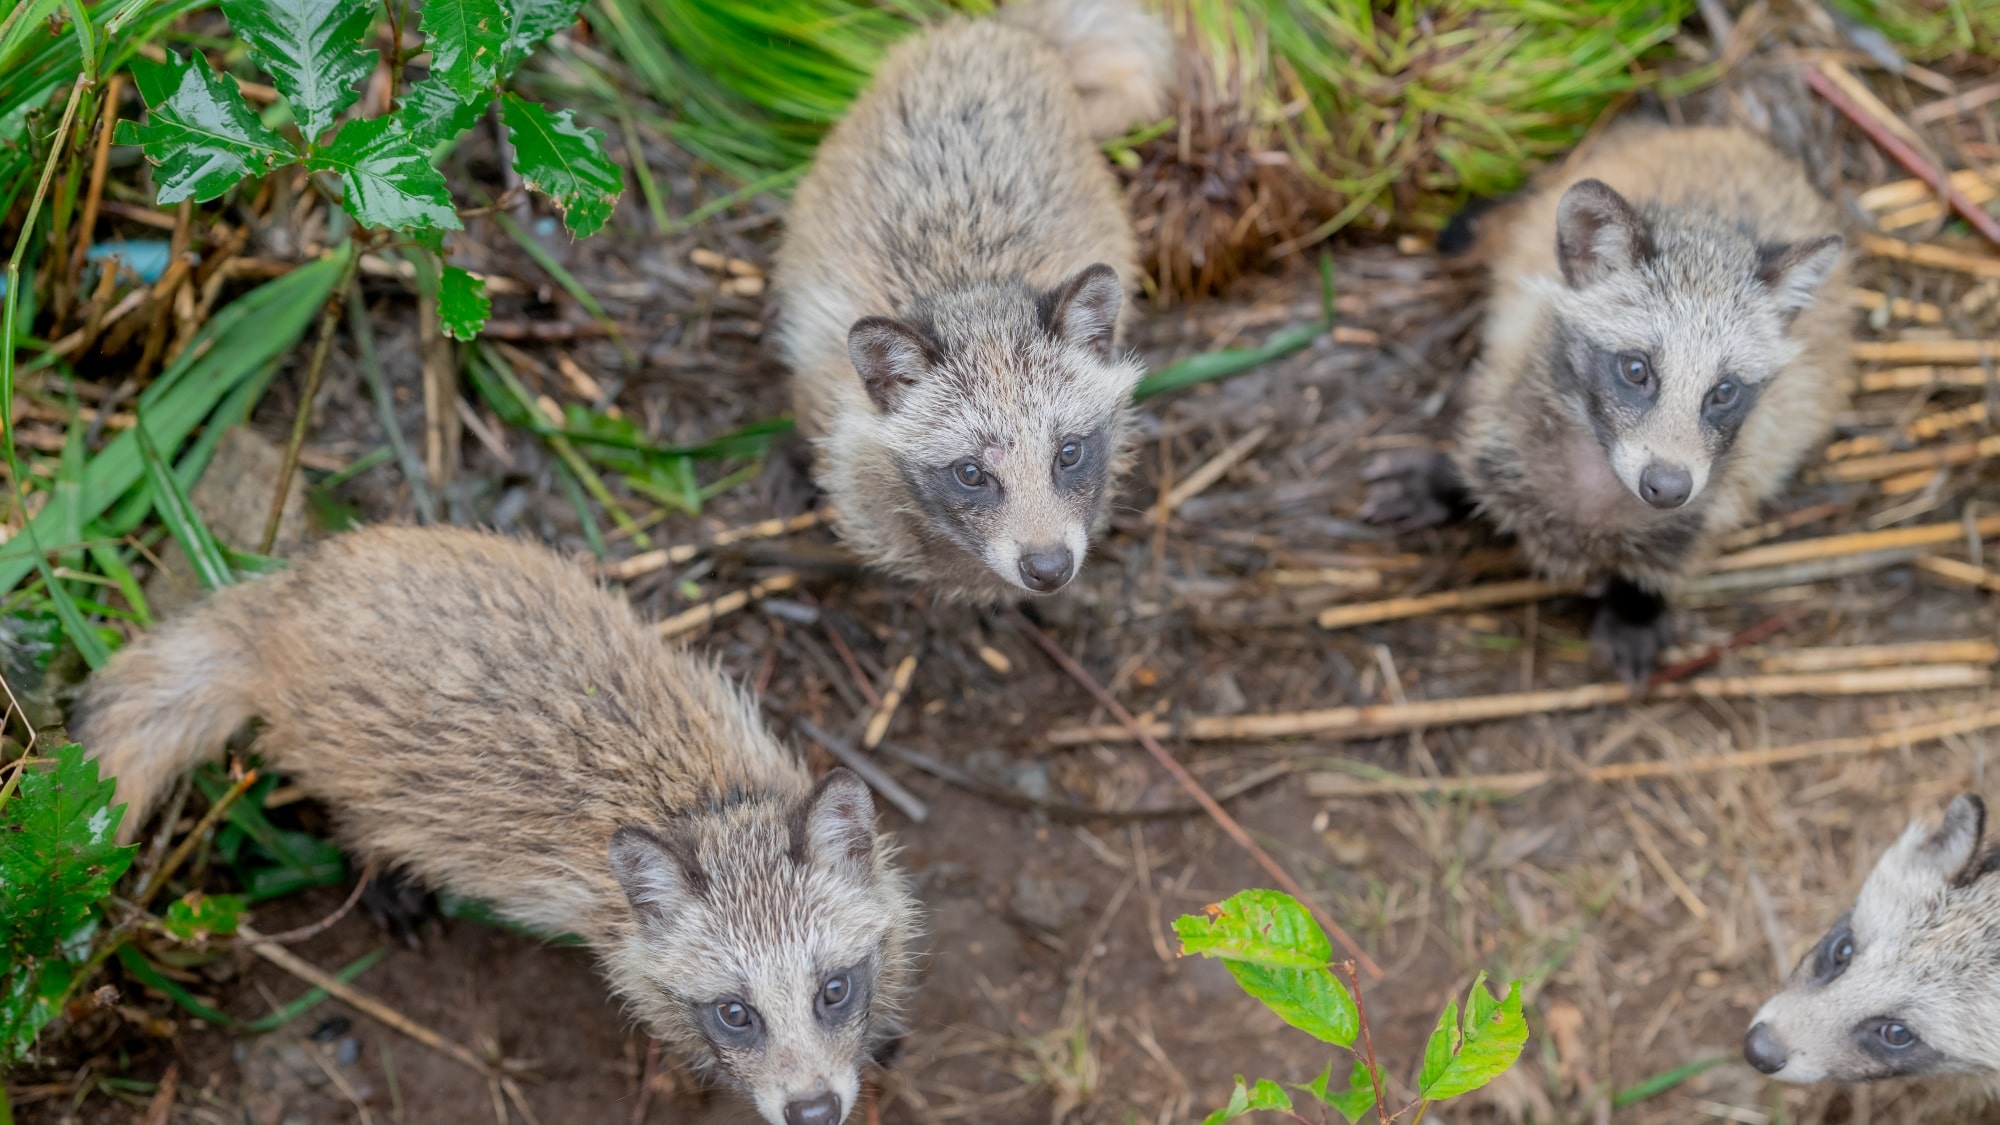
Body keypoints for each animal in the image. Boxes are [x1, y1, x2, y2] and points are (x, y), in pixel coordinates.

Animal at [1368, 127, 1848, 680]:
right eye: (1636, 369)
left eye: (1725, 391)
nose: (1667, 488)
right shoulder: (1513, 374)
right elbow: (1486, 446)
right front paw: (1443, 478)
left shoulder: (1724, 493)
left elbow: (1670, 553)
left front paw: (1636, 604)